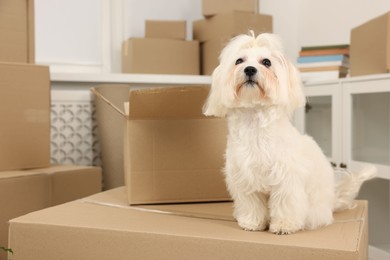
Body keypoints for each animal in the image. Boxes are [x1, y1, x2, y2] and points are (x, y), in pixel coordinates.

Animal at [203, 31, 376, 235]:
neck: (256, 124)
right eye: (239, 61)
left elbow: (285, 202)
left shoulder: (287, 179)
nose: (250, 69)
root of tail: (332, 202)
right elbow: (251, 203)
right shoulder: (245, 178)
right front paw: (252, 222)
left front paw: (284, 225)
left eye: (266, 62)